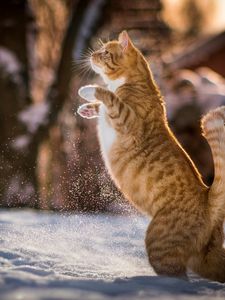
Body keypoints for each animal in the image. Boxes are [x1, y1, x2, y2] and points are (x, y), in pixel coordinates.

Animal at [77, 30, 225, 282]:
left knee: (176, 278)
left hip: (159, 244)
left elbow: (108, 96)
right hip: (205, 261)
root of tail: (207, 196)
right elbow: (103, 103)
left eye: (105, 52)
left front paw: (87, 90)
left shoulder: (128, 121)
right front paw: (86, 109)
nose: (92, 55)